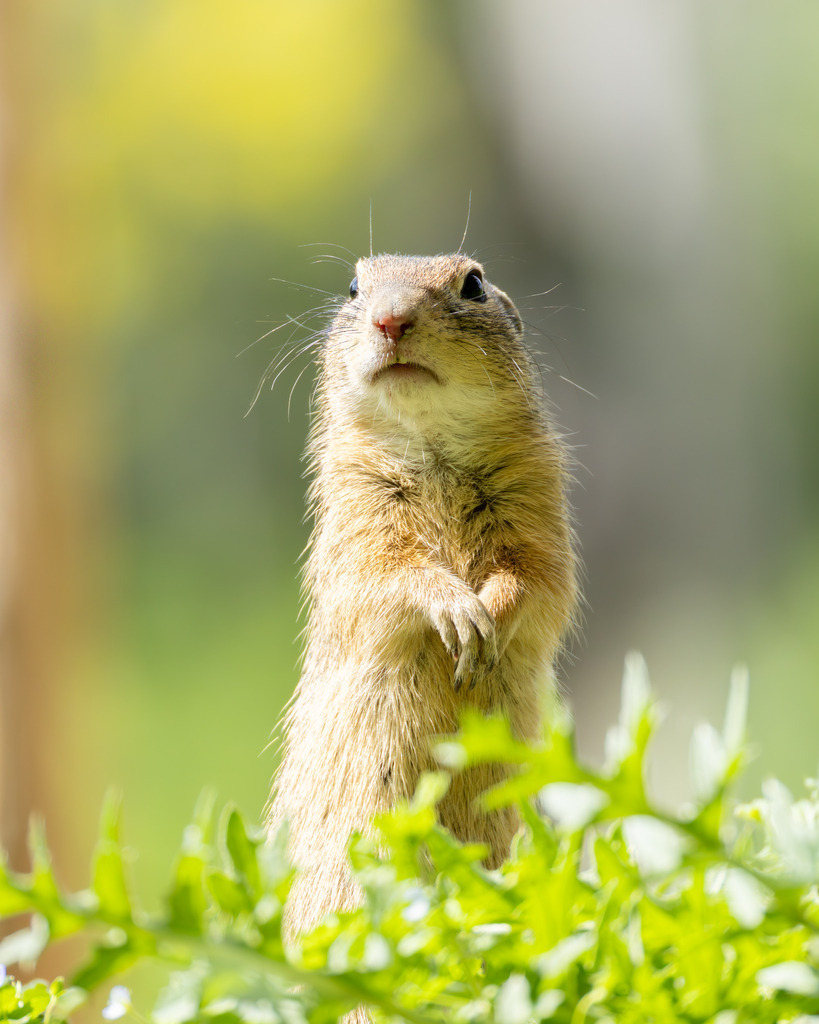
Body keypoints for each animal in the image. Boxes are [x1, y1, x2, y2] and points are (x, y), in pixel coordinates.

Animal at [268, 252, 578, 947]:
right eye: (354, 287)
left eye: (474, 283)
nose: (391, 319)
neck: (434, 451)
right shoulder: (358, 527)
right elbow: (390, 580)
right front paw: (458, 611)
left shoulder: (538, 510)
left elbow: (537, 581)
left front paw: (490, 618)